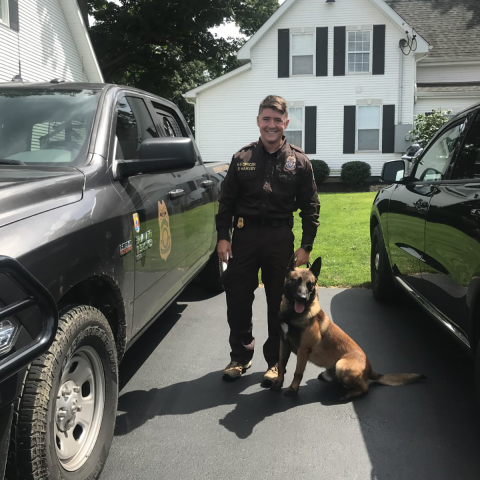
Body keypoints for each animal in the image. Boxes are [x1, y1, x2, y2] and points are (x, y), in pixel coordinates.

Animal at [272, 256, 426, 400]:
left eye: (310, 284)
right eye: (295, 281)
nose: (303, 298)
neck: (292, 315)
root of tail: (370, 369)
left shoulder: (303, 350)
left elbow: (297, 372)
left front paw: (293, 389)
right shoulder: (283, 344)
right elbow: (281, 365)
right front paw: (278, 383)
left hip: (341, 365)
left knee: (365, 388)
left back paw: (348, 394)